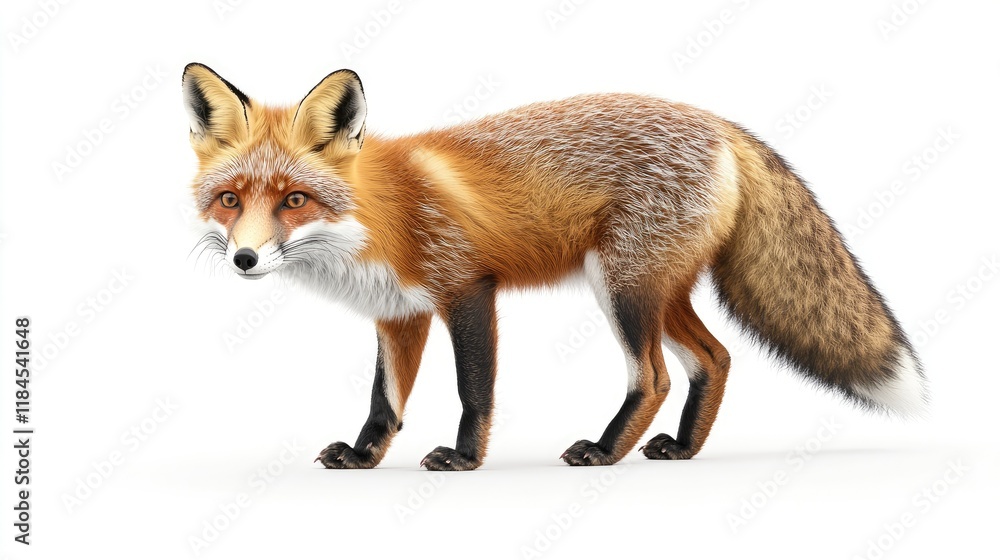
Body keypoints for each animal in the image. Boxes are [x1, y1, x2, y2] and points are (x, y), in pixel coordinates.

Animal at [182, 63, 927, 471]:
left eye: (294, 199)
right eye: (230, 199)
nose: (245, 257)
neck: (378, 215)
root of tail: (718, 123)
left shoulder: (467, 289)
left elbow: (473, 391)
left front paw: (464, 459)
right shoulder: (398, 315)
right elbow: (384, 404)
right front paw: (365, 458)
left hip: (622, 288)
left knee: (653, 376)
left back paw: (604, 451)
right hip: (656, 290)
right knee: (714, 358)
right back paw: (682, 450)